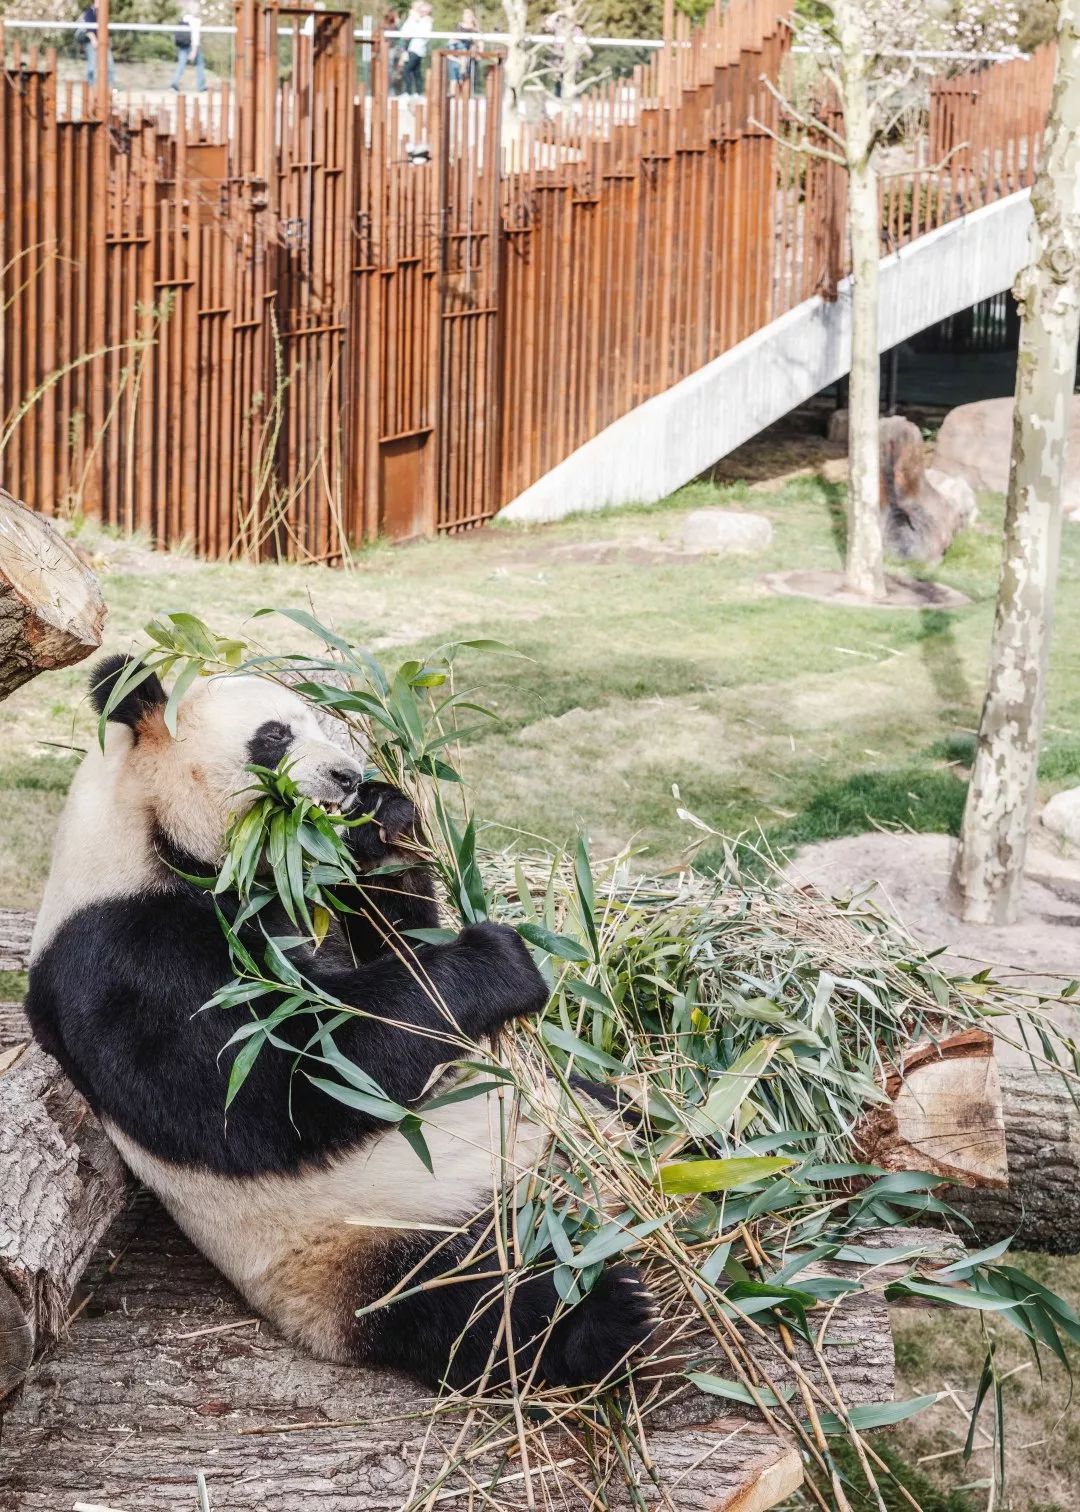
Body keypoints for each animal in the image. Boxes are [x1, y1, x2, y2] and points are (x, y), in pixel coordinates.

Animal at [27, 662, 647, 1391]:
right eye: (274, 735)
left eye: (326, 725)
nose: (348, 778)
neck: (148, 833)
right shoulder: (122, 952)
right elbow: (280, 1086)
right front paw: (499, 960)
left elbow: (394, 942)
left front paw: (383, 821)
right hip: (363, 1241)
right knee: (469, 1304)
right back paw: (606, 1309)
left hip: (566, 1109)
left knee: (627, 1113)